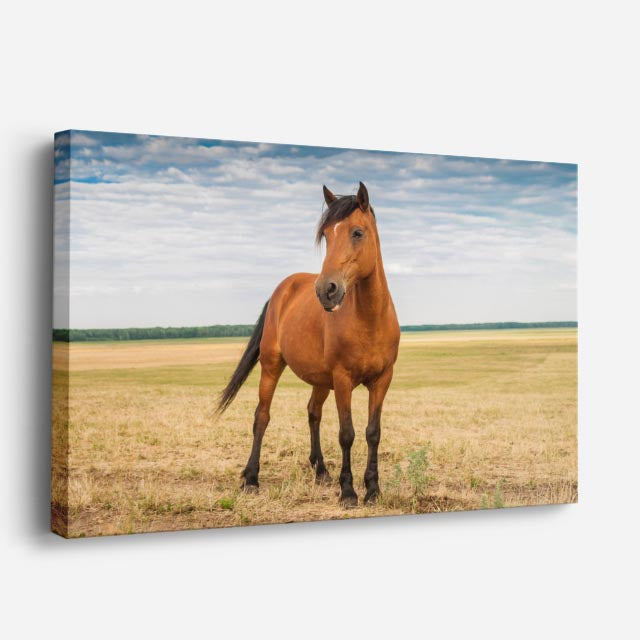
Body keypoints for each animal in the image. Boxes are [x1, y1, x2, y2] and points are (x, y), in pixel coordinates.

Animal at [217, 182, 400, 507]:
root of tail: (283, 289)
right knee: (261, 417)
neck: (370, 318)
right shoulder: (343, 379)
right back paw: (251, 478)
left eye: (357, 232)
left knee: (313, 413)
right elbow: (347, 433)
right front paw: (348, 491)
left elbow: (373, 432)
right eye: (325, 235)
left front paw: (373, 489)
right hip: (272, 366)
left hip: (321, 380)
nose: (326, 290)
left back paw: (321, 471)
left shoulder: (382, 380)